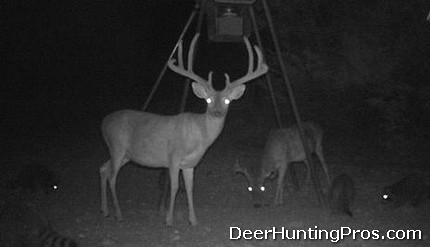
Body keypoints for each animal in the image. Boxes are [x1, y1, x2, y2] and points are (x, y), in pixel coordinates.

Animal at [100, 32, 268, 226]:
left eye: (227, 100)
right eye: (208, 100)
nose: (217, 112)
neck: (199, 137)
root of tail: (103, 122)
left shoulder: (191, 164)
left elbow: (189, 188)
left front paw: (193, 220)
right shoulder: (173, 157)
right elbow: (174, 187)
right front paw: (169, 220)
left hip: (125, 154)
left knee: (103, 169)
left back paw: (105, 210)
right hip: (117, 147)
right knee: (112, 177)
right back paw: (118, 214)